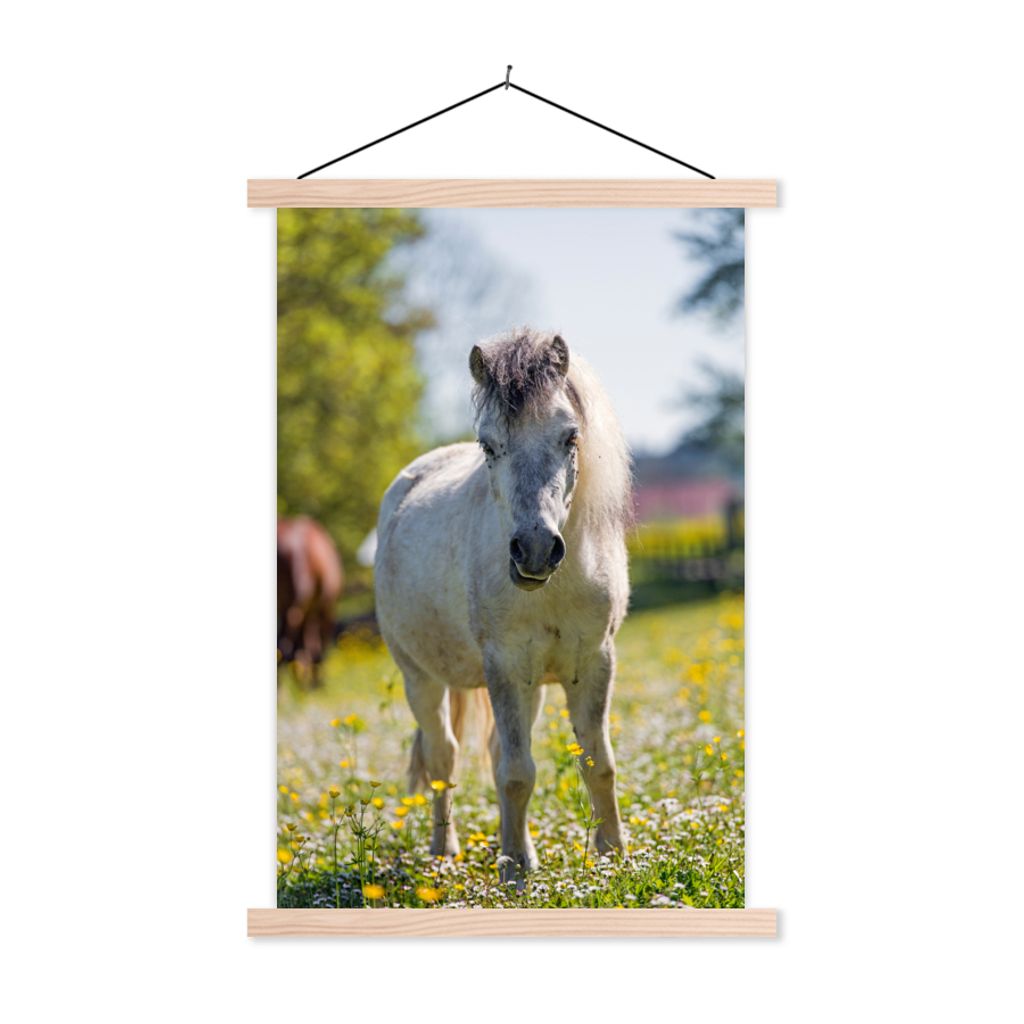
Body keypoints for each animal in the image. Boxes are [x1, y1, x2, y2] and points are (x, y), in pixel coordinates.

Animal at [375, 329, 632, 881]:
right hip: (421, 679)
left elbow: (598, 763)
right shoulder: (506, 668)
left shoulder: (594, 662)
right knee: (443, 758)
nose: (534, 550)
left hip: (531, 687)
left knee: (492, 753)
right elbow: (517, 773)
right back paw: (444, 851)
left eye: (570, 437)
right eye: (488, 445)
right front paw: (514, 869)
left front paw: (614, 856)